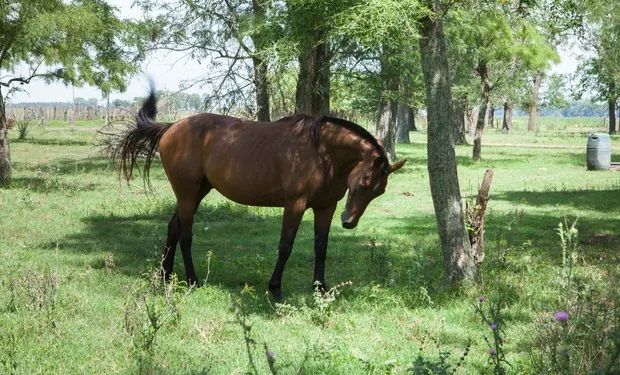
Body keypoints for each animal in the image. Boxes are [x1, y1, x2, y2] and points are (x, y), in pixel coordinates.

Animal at [111, 91, 404, 300]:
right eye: (365, 182)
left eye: (379, 191)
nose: (349, 222)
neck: (322, 152)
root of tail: (172, 126)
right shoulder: (295, 206)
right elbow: (285, 246)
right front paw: (275, 289)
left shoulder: (326, 207)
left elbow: (321, 248)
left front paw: (320, 288)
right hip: (188, 193)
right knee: (185, 234)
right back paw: (193, 280)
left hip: (195, 193)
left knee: (173, 228)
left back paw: (166, 276)